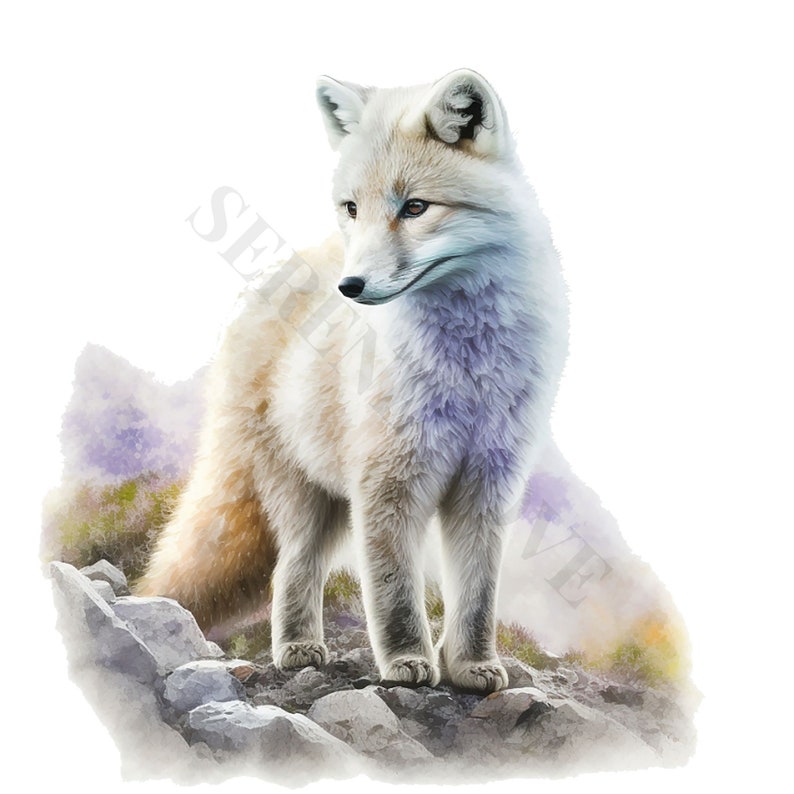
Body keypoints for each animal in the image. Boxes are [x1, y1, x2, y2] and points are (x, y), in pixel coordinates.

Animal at [137, 69, 568, 693]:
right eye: (352, 207)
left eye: (416, 207)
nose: (351, 286)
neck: (467, 371)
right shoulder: (387, 484)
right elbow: (394, 590)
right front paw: (408, 662)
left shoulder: (488, 487)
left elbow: (477, 594)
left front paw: (471, 666)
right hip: (305, 500)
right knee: (290, 569)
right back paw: (298, 649)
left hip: (334, 505)